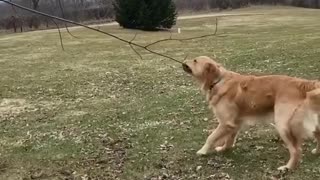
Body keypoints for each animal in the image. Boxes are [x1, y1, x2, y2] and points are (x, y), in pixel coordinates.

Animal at [182, 56, 320, 170]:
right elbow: (229, 138)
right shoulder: (235, 123)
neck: (218, 80)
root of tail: (303, 83)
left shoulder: (225, 122)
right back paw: (316, 152)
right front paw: (224, 148)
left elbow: (211, 137)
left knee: (296, 150)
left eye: (195, 60)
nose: (183, 61)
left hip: (282, 124)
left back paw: (287, 167)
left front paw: (202, 151)